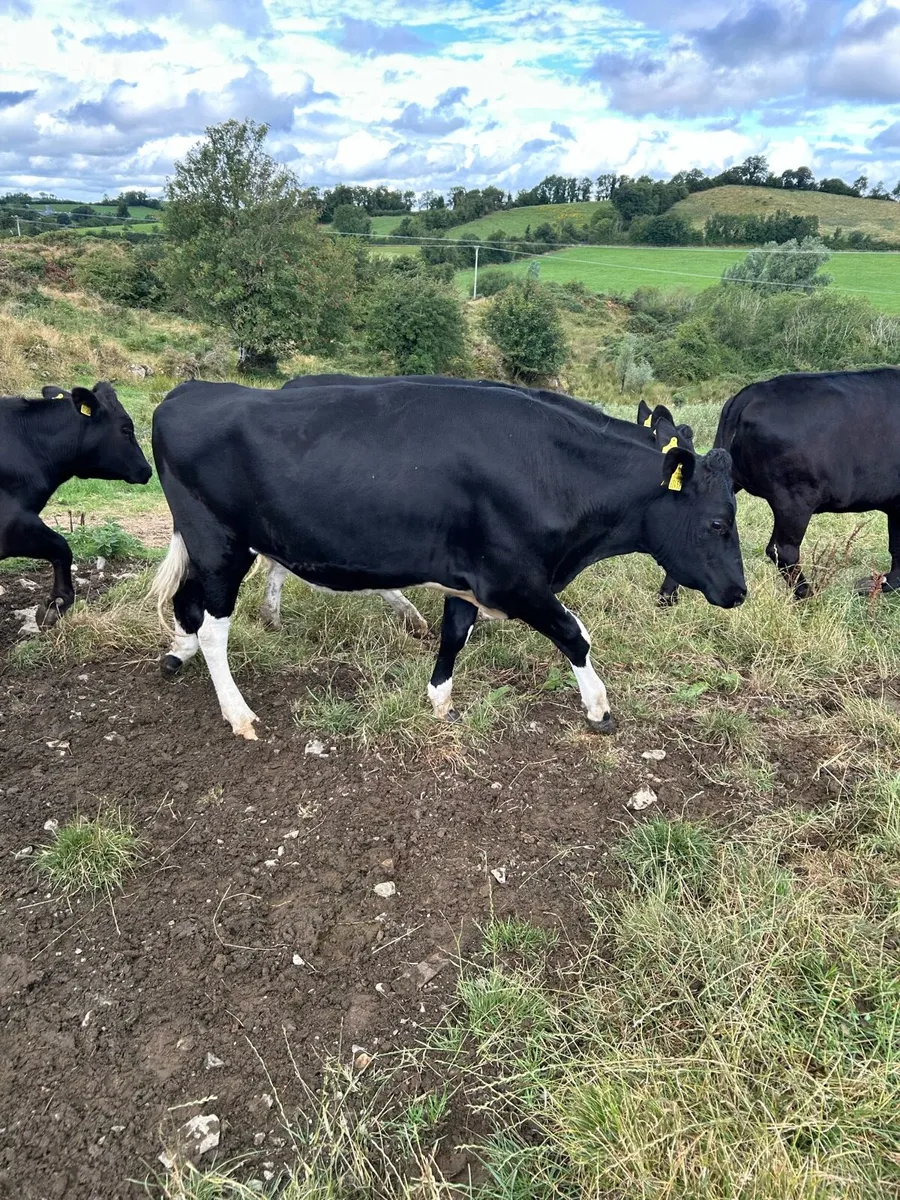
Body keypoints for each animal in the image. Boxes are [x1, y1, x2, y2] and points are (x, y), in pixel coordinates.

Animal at [150, 378, 745, 739]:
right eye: (719, 522)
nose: (739, 591)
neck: (553, 471)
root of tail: (189, 391)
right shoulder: (513, 580)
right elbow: (575, 635)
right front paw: (598, 706)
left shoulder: (471, 576)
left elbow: (455, 633)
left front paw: (440, 700)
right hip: (218, 543)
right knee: (212, 627)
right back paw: (237, 712)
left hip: (212, 546)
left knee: (188, 603)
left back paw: (178, 655)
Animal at [654, 368, 900, 605]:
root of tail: (749, 394)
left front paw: (881, 584)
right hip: (795, 498)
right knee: (783, 551)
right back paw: (808, 597)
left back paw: (667, 597)